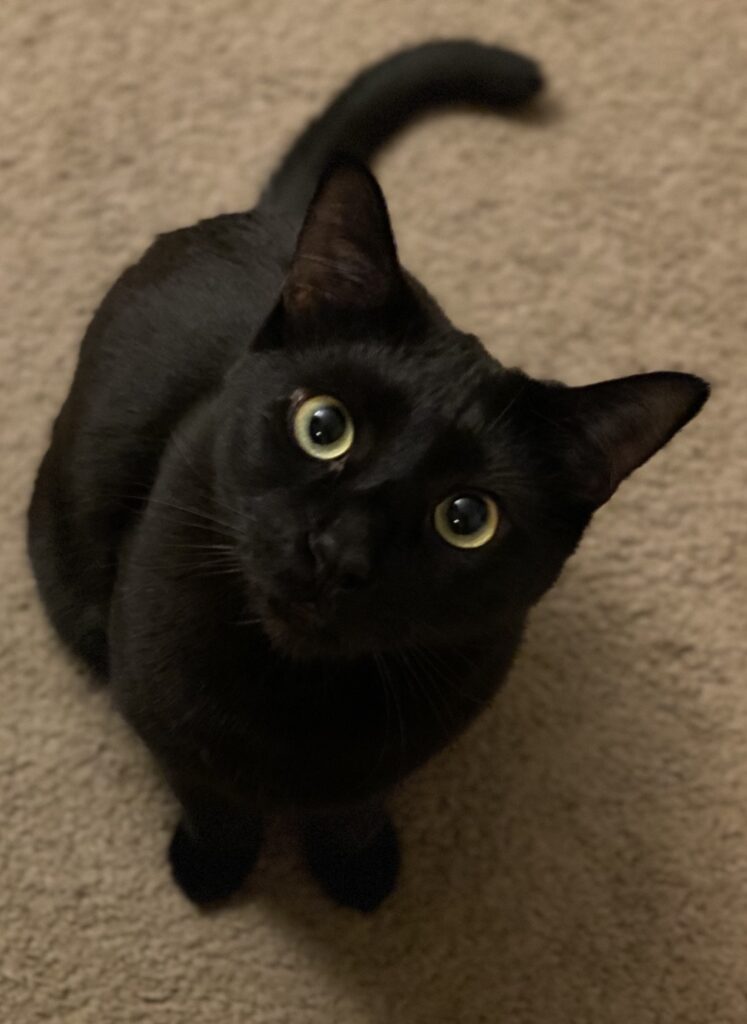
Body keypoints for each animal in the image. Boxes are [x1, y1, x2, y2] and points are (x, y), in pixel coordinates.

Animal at [28, 40, 709, 913]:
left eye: (466, 518)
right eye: (322, 427)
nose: (338, 552)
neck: (297, 696)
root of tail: (280, 218)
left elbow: (352, 804)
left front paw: (354, 869)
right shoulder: (158, 704)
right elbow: (208, 792)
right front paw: (215, 866)